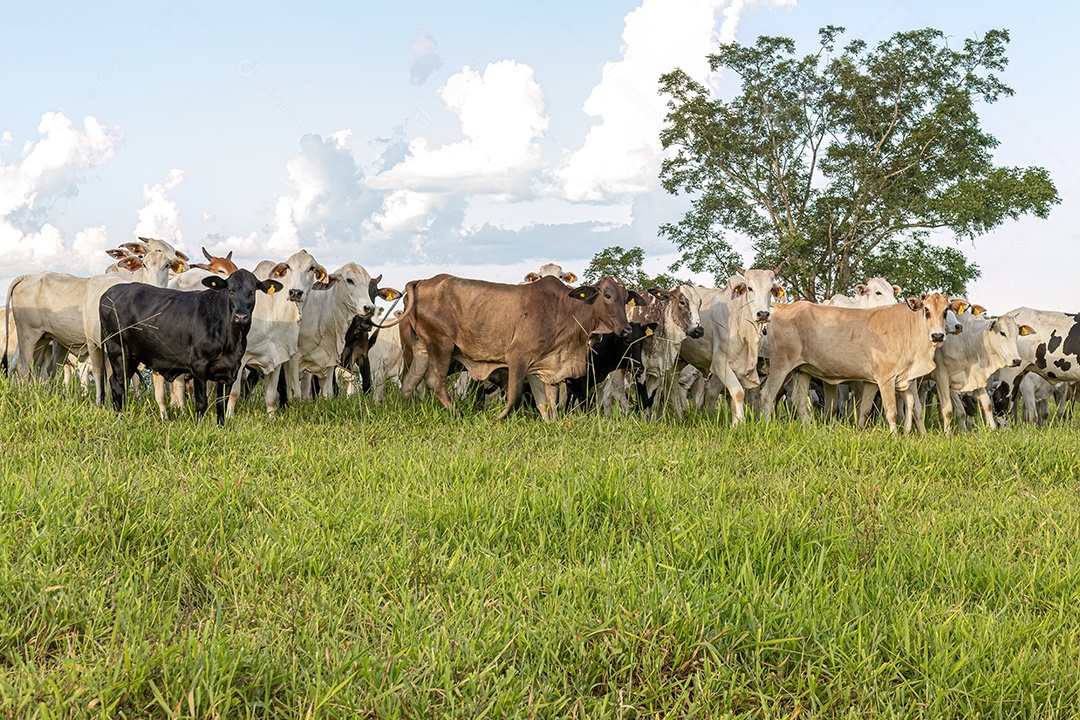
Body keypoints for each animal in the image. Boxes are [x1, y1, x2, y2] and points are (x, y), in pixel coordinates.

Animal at [98, 267, 280, 425]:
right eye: (230, 290)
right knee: (117, 384)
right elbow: (201, 402)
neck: (231, 339)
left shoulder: (229, 369)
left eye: (252, 291)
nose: (241, 316)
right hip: (118, 351)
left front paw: (221, 427)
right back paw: (120, 417)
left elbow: (221, 403)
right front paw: (199, 427)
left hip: (132, 357)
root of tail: (109, 292)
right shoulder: (199, 365)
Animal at [401, 276, 643, 423]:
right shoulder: (518, 357)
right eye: (607, 296)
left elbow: (547, 401)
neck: (565, 309)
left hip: (423, 351)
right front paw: (496, 419)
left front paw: (552, 422)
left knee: (409, 383)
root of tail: (422, 281)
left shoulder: (544, 366)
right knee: (435, 382)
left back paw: (406, 411)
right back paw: (458, 414)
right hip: (441, 345)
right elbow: (515, 396)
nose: (626, 329)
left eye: (626, 298)